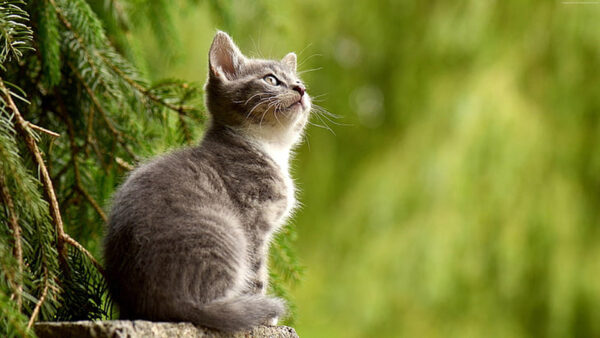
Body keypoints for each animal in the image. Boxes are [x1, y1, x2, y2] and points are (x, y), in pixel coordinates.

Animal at [103, 30, 312, 332]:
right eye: (271, 79)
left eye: (299, 81)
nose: (301, 89)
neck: (268, 147)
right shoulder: (254, 223)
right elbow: (257, 272)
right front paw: (265, 317)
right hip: (228, 233)